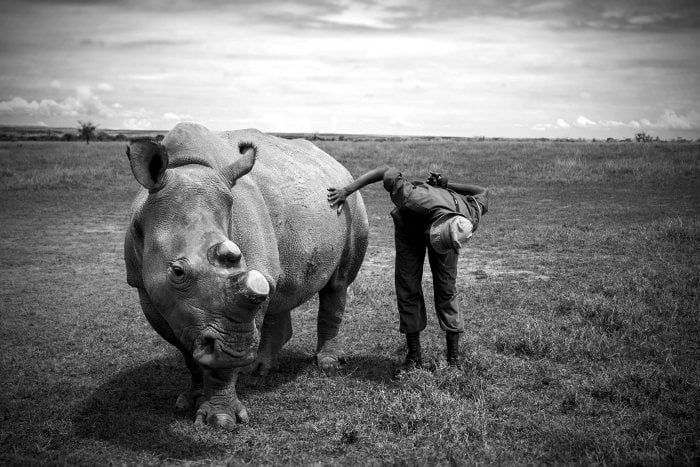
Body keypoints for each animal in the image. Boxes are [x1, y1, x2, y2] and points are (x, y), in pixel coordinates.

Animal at [124, 122, 372, 430]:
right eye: (178, 272)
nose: (236, 353)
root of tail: (336, 164)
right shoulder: (145, 286)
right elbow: (186, 347)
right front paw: (189, 399)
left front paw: (220, 418)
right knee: (281, 289)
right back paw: (259, 368)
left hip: (351, 203)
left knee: (337, 283)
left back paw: (325, 363)